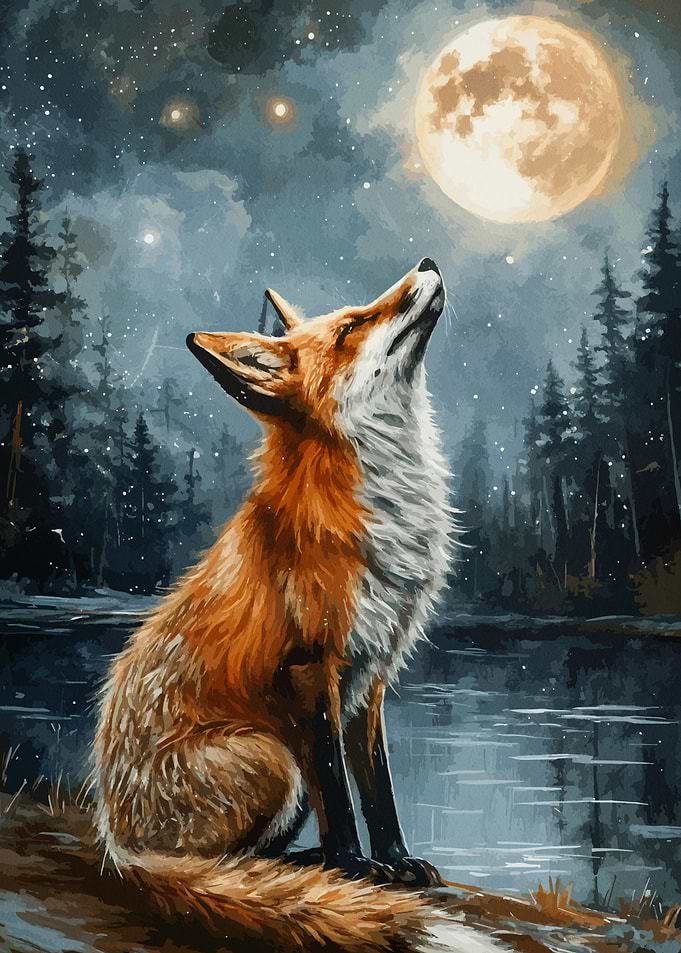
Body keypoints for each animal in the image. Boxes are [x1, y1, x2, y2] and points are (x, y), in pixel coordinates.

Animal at [93, 259, 494, 953]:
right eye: (352, 326)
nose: (427, 265)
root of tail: (122, 844)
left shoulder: (371, 676)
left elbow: (378, 790)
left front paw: (397, 862)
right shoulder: (313, 668)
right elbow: (339, 792)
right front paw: (358, 868)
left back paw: (306, 863)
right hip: (274, 758)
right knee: (225, 862)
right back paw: (308, 867)